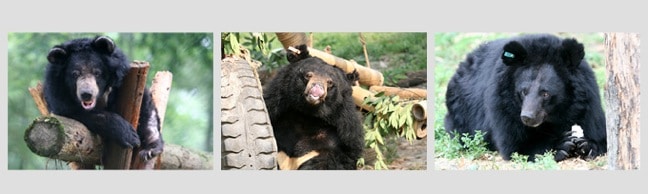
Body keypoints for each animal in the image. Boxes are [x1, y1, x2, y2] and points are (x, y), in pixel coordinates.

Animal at [442, 33, 604, 162]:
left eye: (545, 93)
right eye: (523, 92)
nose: (527, 117)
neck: (553, 116)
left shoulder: (586, 102)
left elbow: (596, 129)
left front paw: (587, 145)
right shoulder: (503, 103)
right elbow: (515, 144)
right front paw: (560, 145)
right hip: (462, 112)